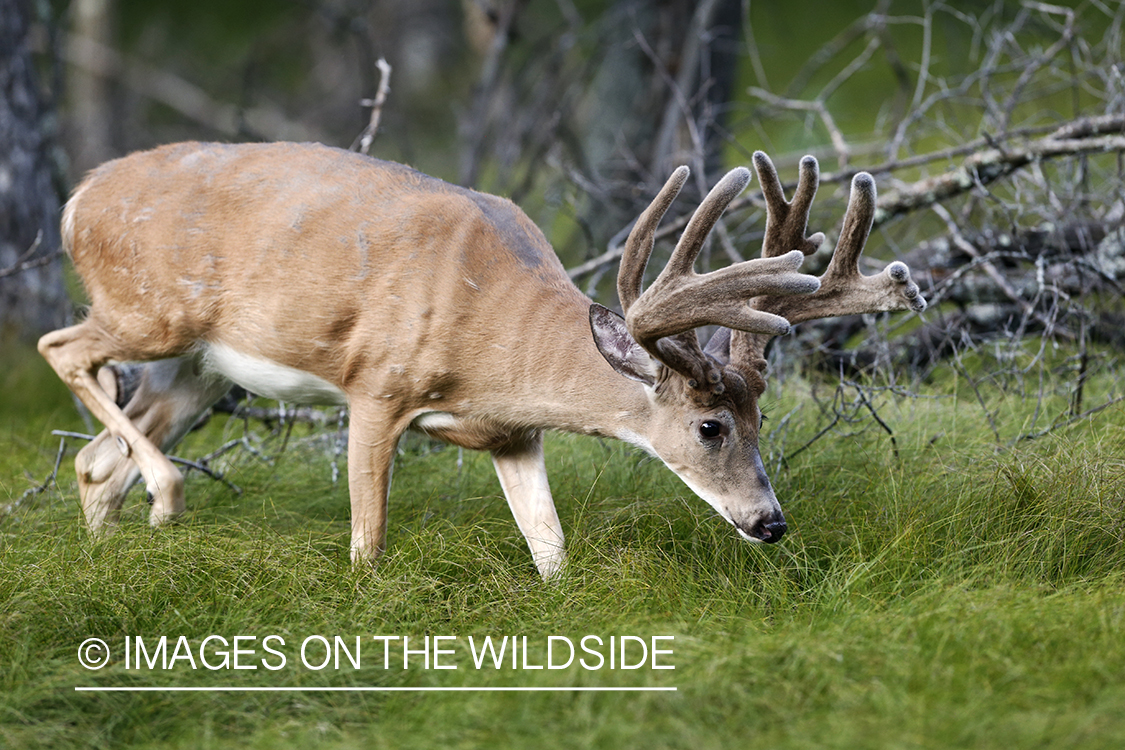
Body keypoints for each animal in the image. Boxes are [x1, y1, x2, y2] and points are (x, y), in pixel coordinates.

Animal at [39, 143, 927, 580]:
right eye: (710, 425)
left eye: (760, 418)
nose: (768, 523)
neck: (492, 342)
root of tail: (75, 200)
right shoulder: (375, 386)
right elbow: (368, 543)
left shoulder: (511, 434)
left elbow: (550, 549)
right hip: (150, 312)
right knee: (61, 348)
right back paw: (166, 492)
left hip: (199, 365)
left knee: (94, 462)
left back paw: (110, 554)